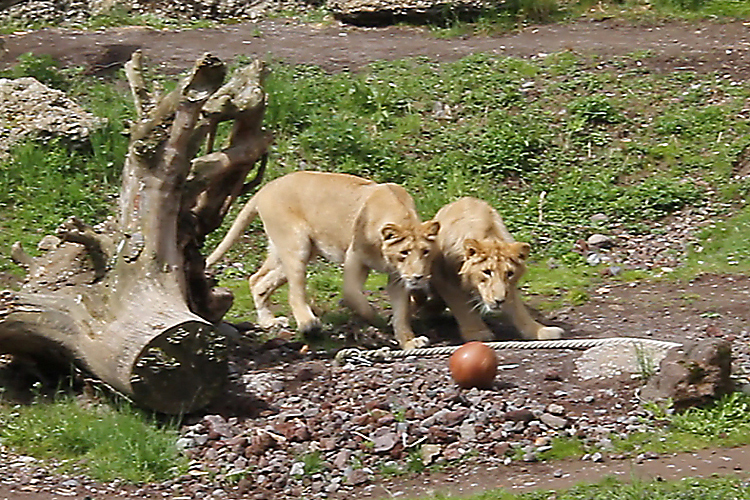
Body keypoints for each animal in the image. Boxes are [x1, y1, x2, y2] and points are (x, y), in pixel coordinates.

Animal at [207, 170, 440, 350]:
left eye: (425, 252)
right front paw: (377, 320)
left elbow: (402, 313)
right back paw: (308, 324)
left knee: (257, 280)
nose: (419, 277)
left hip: (293, 250)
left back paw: (269, 322)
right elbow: (354, 297)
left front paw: (408, 342)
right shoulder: (354, 258)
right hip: (297, 244)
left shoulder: (397, 277)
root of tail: (266, 187)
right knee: (294, 293)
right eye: (404, 252)